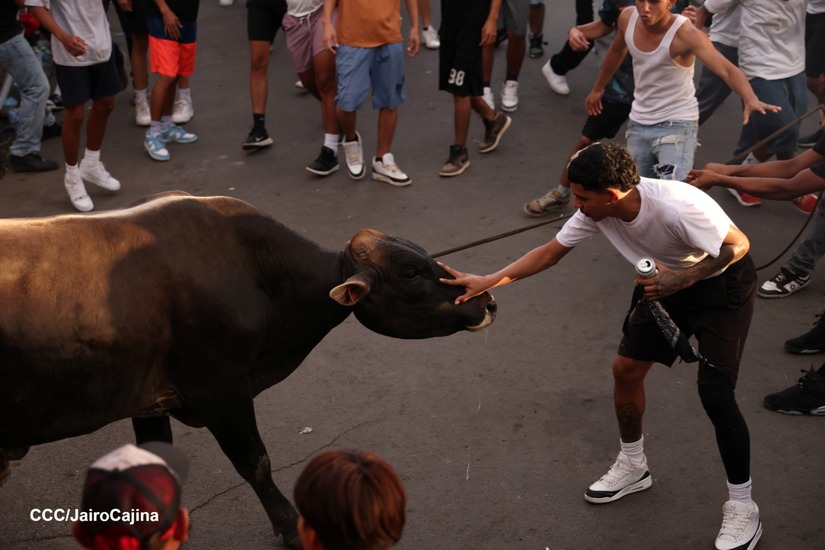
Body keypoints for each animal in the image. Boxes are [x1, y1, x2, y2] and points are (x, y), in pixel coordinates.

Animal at [0, 192, 496, 548]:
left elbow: (157, 459)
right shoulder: (222, 391)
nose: (487, 300)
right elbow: (255, 462)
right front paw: (292, 527)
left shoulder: (146, 395)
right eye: (411, 272)